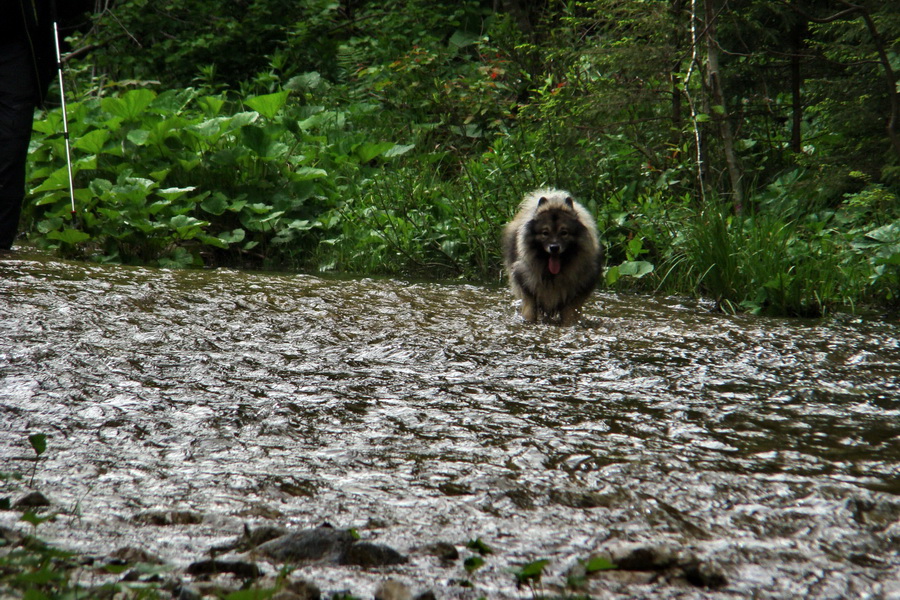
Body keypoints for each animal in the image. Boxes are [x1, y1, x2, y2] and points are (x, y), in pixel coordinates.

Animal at [502, 190, 600, 326]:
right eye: (545, 233)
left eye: (564, 232)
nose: (554, 247)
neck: (553, 275)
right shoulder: (527, 287)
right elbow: (530, 312)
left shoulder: (574, 297)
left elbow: (569, 317)